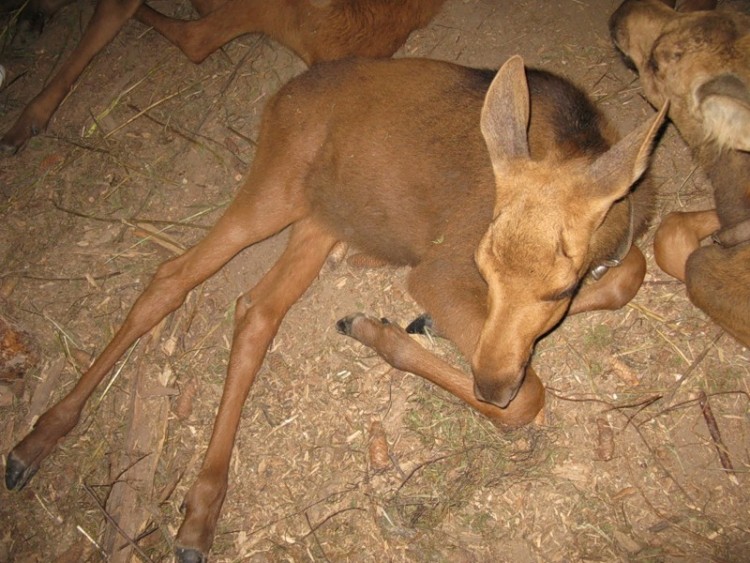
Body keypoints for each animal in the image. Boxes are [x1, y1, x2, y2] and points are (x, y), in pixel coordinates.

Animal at [4, 55, 664, 560]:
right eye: (481, 265)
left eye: (559, 287)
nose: (489, 386)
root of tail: (279, 97)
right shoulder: (437, 272)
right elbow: (532, 396)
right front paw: (389, 331)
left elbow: (631, 274)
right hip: (272, 189)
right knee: (172, 277)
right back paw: (36, 441)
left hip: (318, 222)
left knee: (255, 309)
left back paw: (200, 508)